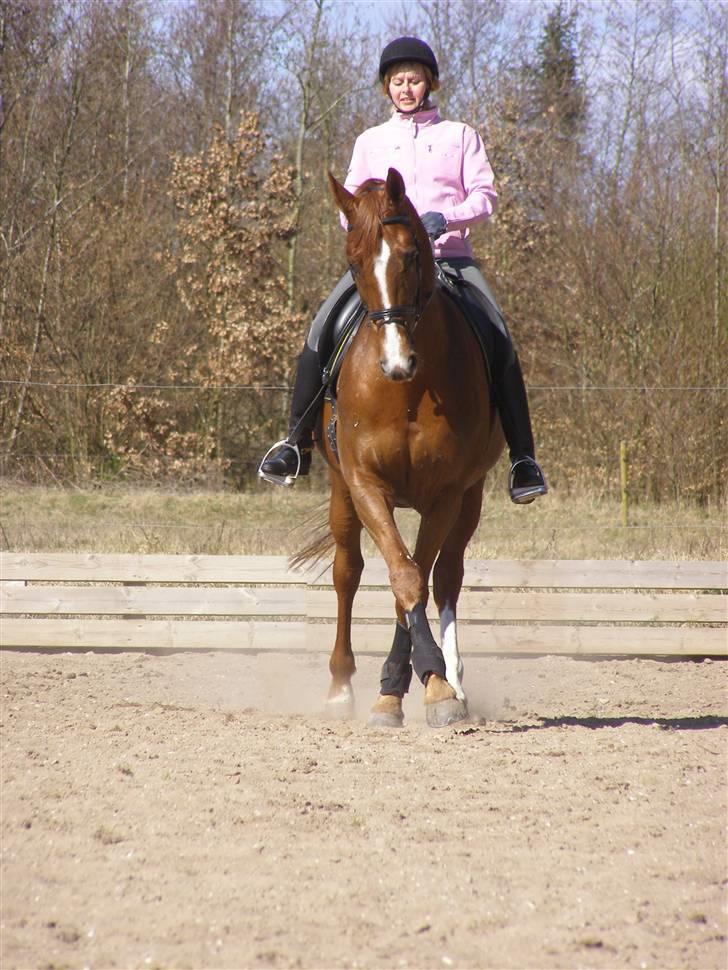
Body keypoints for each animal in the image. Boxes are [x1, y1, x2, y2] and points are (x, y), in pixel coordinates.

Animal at [298, 168, 504, 728]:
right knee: (347, 574)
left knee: (447, 577)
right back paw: (339, 688)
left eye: (412, 255)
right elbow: (400, 576)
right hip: (341, 492)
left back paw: (456, 680)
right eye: (353, 262)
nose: (396, 363)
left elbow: (414, 580)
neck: (408, 391)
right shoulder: (366, 484)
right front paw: (396, 692)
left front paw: (429, 687)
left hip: (472, 498)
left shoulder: (447, 494)